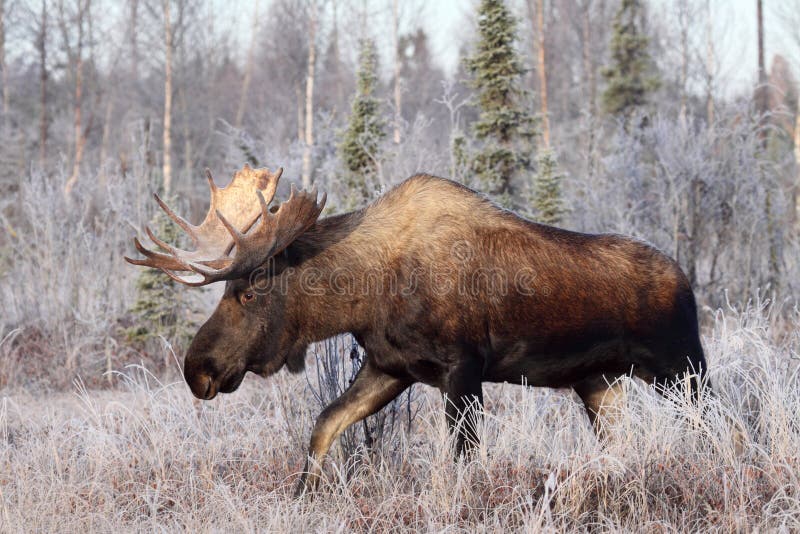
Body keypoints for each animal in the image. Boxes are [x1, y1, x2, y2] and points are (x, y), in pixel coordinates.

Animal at [126, 164, 710, 496]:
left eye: (249, 292)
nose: (197, 369)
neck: (363, 295)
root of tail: (686, 280)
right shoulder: (390, 367)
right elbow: (324, 427)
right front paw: (303, 498)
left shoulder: (463, 368)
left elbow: (462, 460)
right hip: (599, 384)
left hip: (683, 370)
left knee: (716, 427)